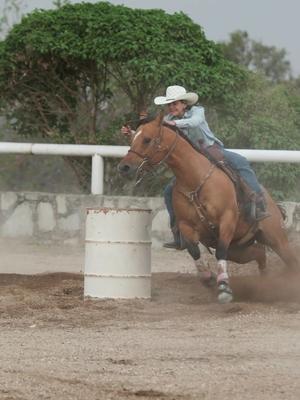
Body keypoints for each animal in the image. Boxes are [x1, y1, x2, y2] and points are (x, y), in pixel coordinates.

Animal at [118, 113, 300, 304]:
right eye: (132, 138)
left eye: (146, 139)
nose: (124, 167)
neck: (195, 180)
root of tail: (273, 204)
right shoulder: (186, 225)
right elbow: (193, 250)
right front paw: (208, 278)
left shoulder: (227, 220)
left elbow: (220, 251)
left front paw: (224, 288)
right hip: (238, 250)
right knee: (260, 253)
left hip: (277, 239)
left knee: (290, 261)